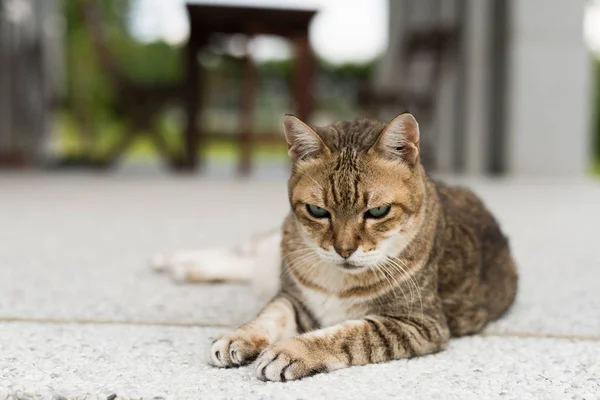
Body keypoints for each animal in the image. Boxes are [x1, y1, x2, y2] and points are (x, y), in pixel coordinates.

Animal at [152, 112, 516, 382]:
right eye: (317, 211)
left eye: (378, 212)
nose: (344, 250)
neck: (337, 280)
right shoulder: (293, 297)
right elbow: (268, 317)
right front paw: (238, 336)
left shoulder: (418, 323)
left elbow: (348, 334)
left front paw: (291, 351)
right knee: (245, 251)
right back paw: (170, 259)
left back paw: (181, 266)